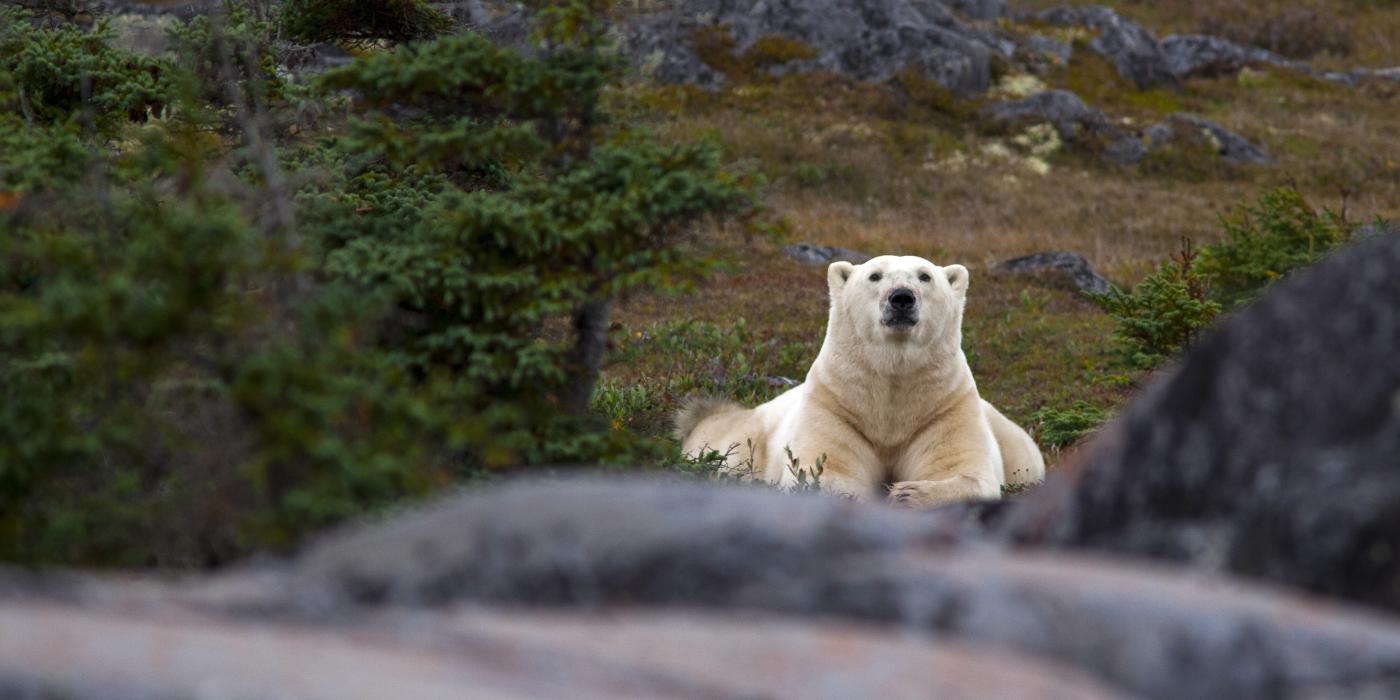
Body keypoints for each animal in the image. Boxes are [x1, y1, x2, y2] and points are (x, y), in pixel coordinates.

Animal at [675, 255, 1044, 507]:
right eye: (874, 275)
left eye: (925, 276)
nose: (901, 297)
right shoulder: (836, 406)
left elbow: (965, 471)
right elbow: (825, 472)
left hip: (1014, 443)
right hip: (746, 438)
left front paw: (908, 492)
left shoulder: (944, 408)